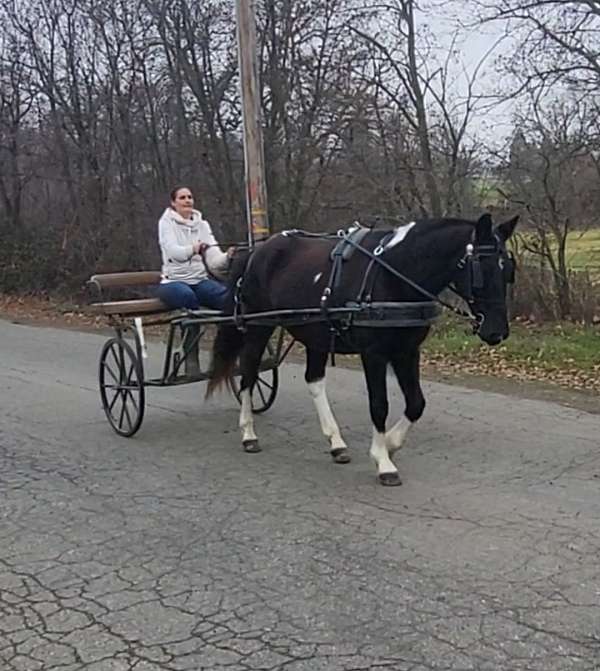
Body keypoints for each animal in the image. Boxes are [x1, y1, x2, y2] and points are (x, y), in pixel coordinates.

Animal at [205, 213, 516, 486]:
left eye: (508, 270)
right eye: (481, 268)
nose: (497, 331)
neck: (394, 274)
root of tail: (256, 250)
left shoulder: (407, 351)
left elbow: (416, 403)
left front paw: (390, 443)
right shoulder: (374, 353)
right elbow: (379, 405)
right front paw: (383, 461)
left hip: (316, 333)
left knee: (313, 380)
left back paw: (336, 443)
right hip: (260, 325)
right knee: (248, 373)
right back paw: (248, 434)